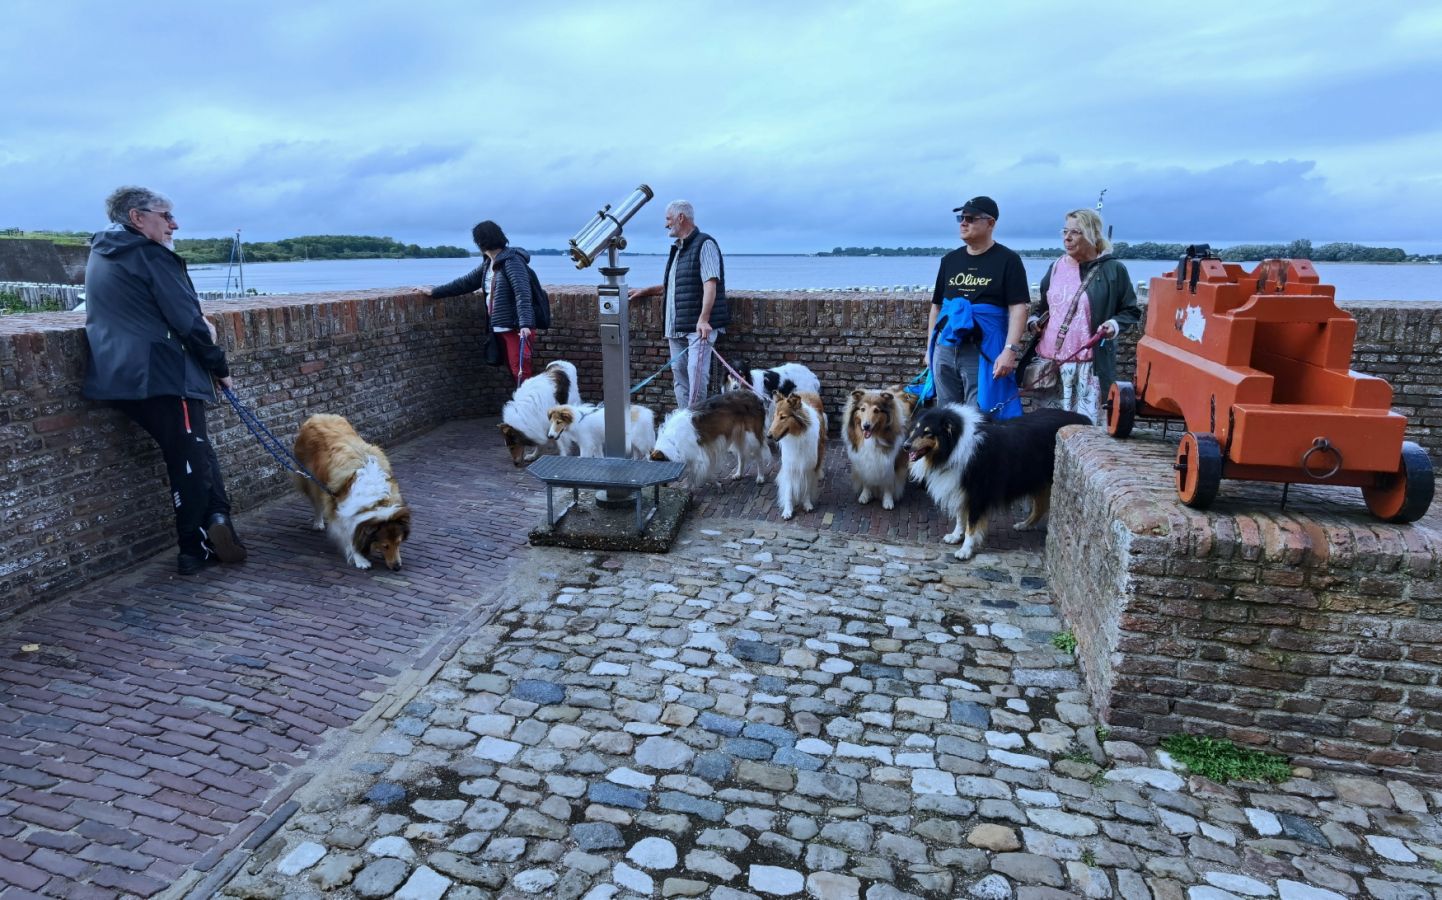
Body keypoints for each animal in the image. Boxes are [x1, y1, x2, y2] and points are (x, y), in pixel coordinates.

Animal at [293, 414, 411, 571]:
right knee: (317, 503)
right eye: (385, 545)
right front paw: (360, 559)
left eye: (398, 542)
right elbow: (349, 536)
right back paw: (318, 523)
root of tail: (317, 416)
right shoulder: (342, 509)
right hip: (311, 481)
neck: (375, 500)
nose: (397, 567)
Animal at [903, 404, 1090, 561]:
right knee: (1041, 506)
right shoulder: (959, 489)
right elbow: (960, 517)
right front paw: (955, 536)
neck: (954, 446)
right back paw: (1024, 525)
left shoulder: (977, 494)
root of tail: (1084, 419)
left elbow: (971, 525)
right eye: (916, 428)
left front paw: (965, 550)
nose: (905, 446)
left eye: (928, 432)